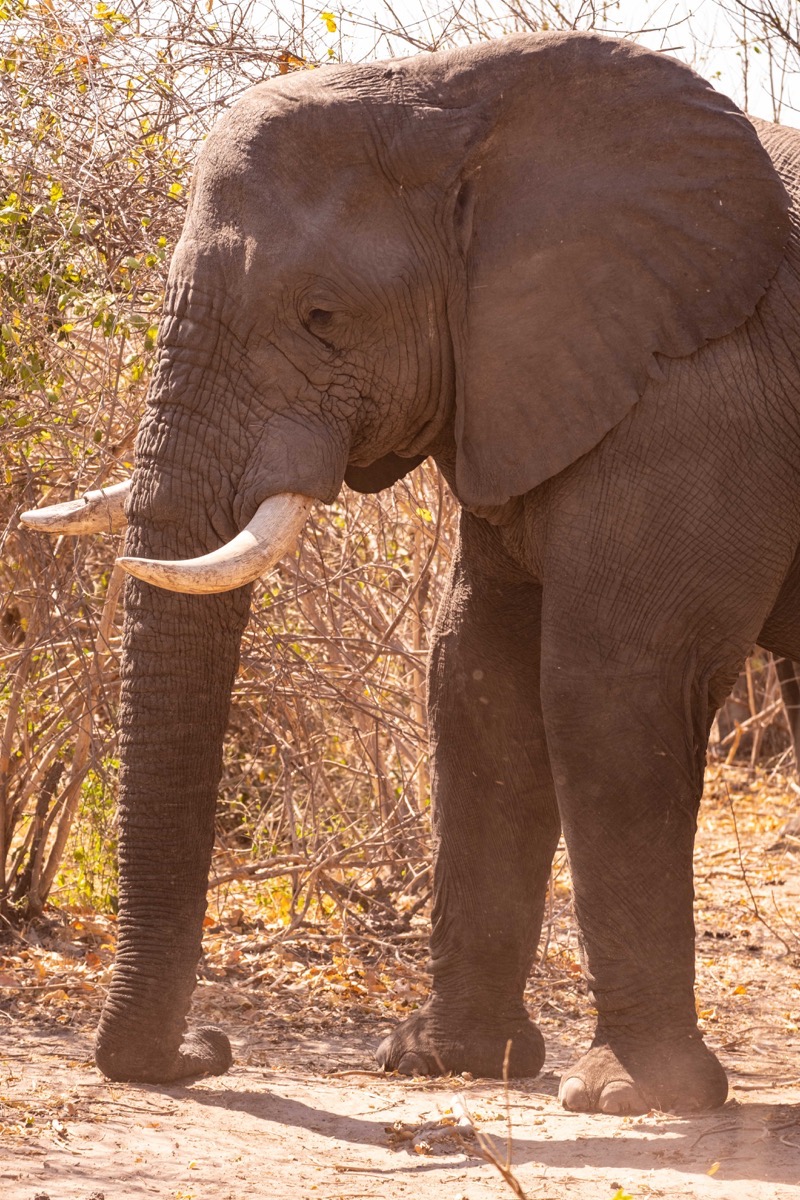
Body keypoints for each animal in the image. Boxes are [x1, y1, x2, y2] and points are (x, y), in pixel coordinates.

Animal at [21, 30, 800, 1113]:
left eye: (321, 316)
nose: (207, 1048)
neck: (473, 101)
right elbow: (475, 681)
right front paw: (443, 1059)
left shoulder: (700, 391)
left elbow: (610, 684)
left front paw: (628, 1098)